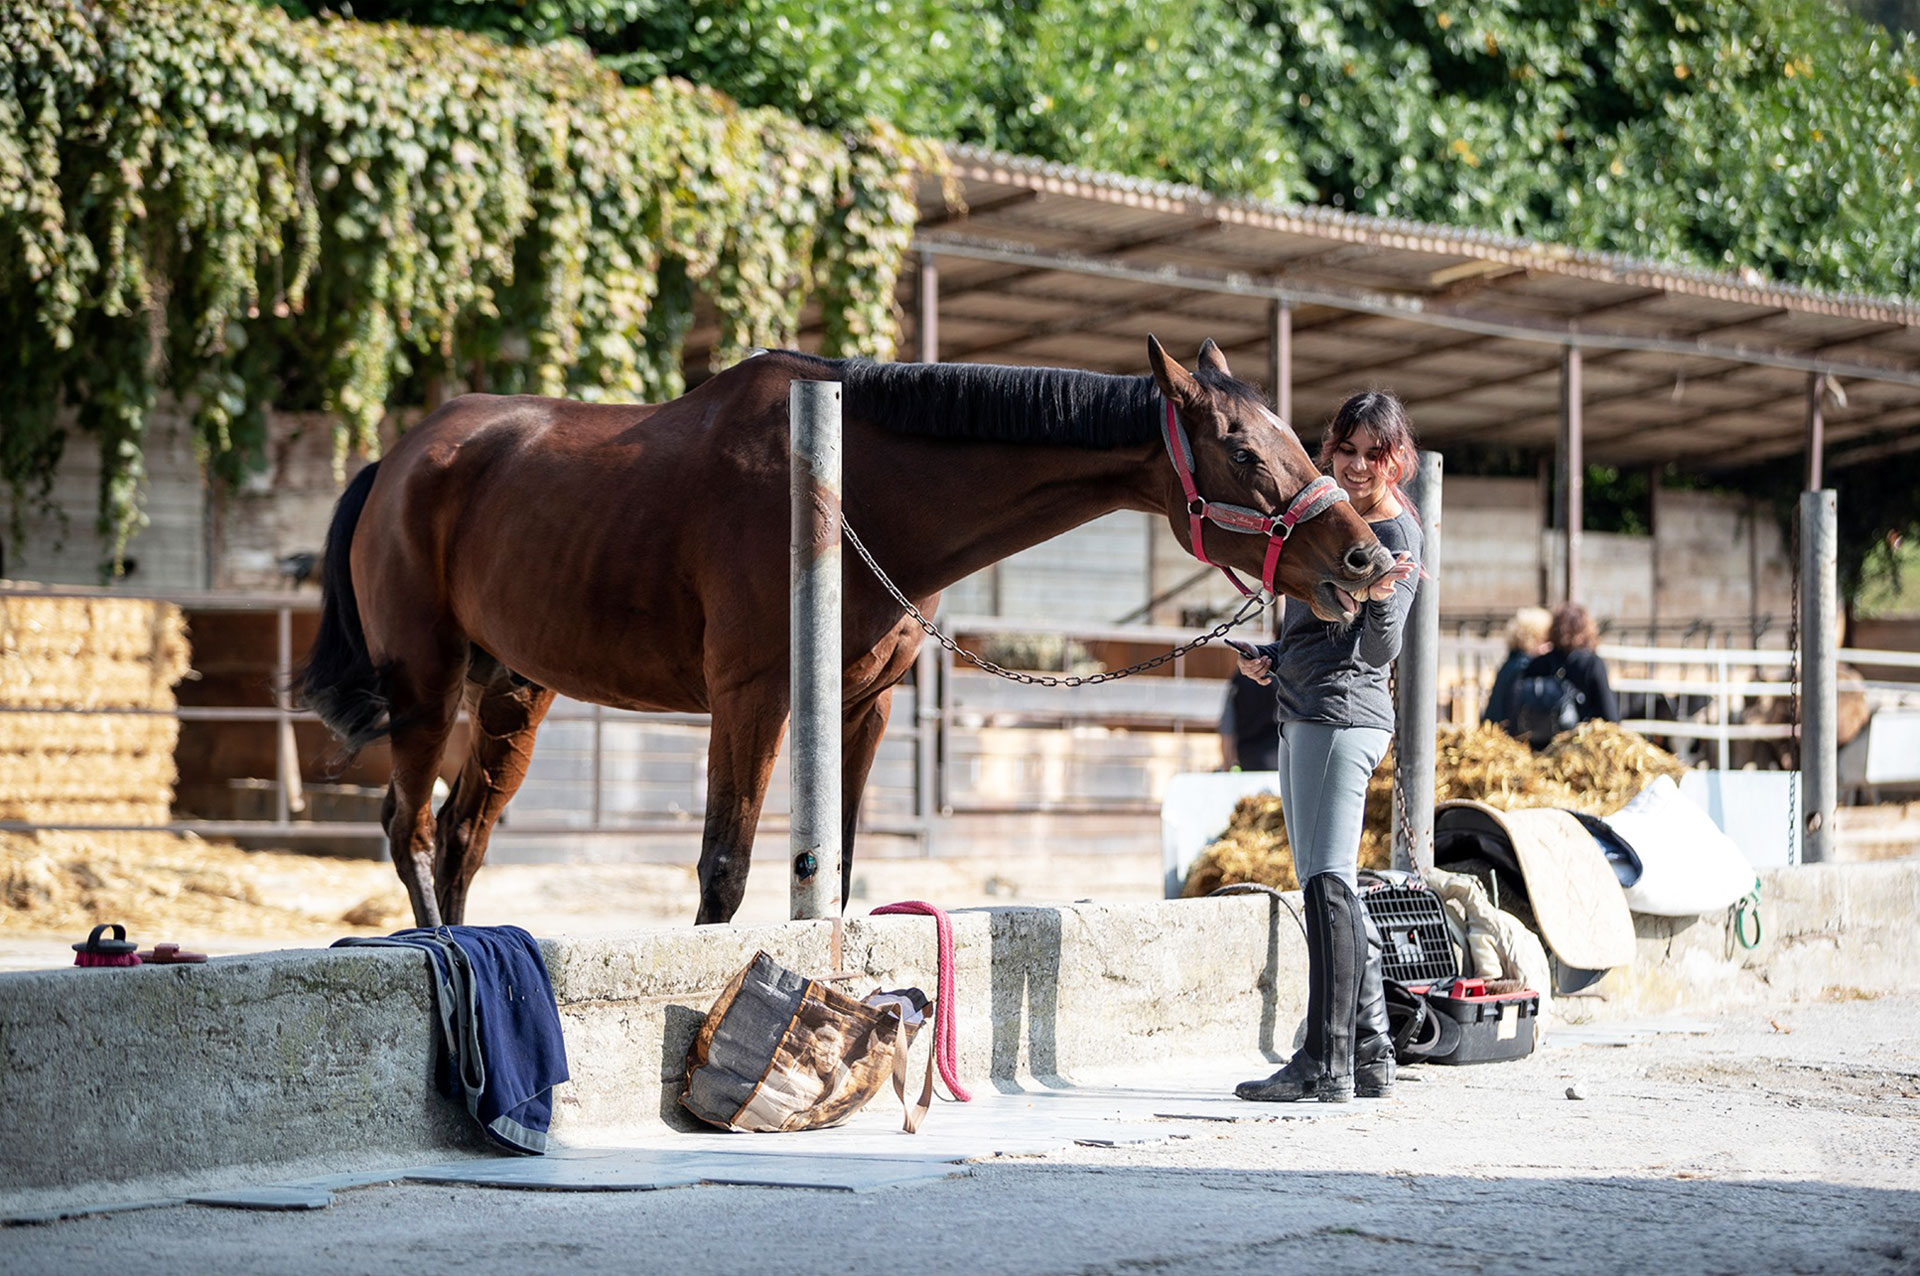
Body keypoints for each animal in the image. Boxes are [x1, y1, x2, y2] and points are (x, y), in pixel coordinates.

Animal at [295, 336, 1394, 926]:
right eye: (1243, 451)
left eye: (1302, 440)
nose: (1364, 561)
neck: (839, 489)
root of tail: (398, 458)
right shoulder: (750, 698)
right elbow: (726, 867)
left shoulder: (866, 705)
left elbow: (842, 868)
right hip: (425, 685)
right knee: (408, 829)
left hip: (514, 689)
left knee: (460, 839)